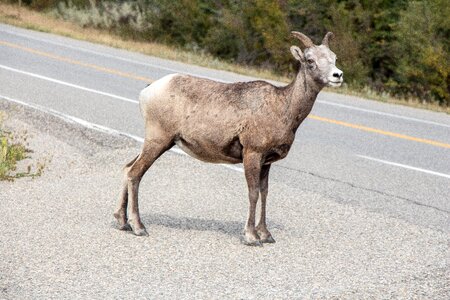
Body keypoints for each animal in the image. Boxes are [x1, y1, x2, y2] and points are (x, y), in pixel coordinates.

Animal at [114, 31, 342, 246]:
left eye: (334, 58)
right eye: (310, 60)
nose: (338, 75)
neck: (283, 108)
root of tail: (147, 91)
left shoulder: (267, 162)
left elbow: (265, 193)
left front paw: (266, 235)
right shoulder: (252, 154)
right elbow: (253, 193)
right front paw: (251, 237)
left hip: (157, 143)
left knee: (127, 168)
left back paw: (122, 222)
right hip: (158, 141)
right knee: (134, 174)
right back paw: (139, 227)